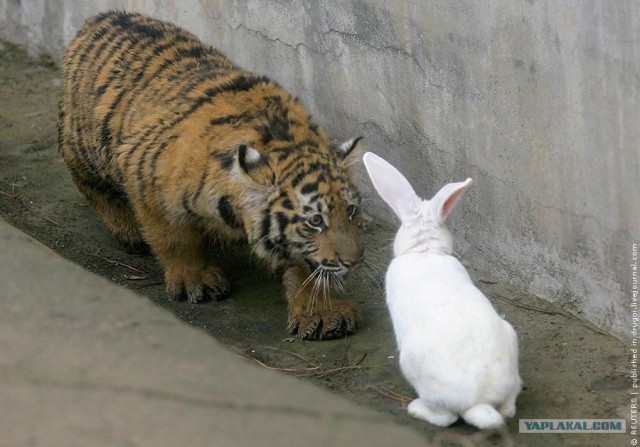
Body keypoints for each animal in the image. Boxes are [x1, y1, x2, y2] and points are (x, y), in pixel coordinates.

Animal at [58, 11, 364, 340]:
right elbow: (173, 238)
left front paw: (321, 313)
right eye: (315, 220)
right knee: (88, 182)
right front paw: (196, 281)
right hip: (85, 145)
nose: (354, 260)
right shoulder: (144, 173)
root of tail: (102, 17)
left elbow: (306, 265)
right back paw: (128, 231)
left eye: (351, 211)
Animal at [362, 152, 522, 430]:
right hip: (510, 342)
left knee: (446, 417)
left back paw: (415, 409)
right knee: (509, 407)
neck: (424, 250)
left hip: (412, 363)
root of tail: (480, 399)